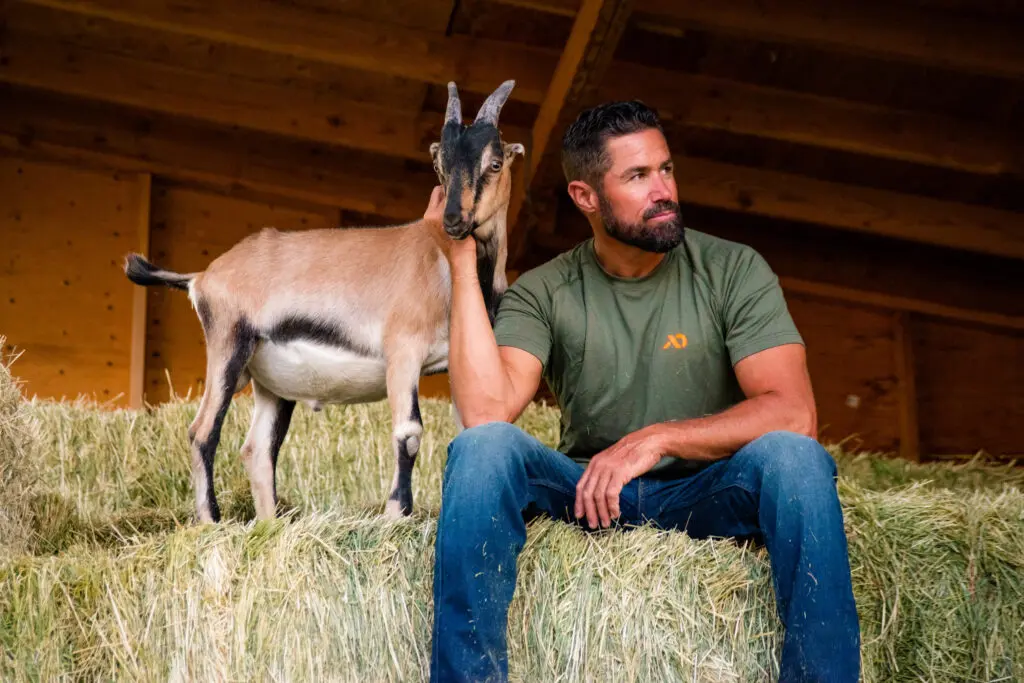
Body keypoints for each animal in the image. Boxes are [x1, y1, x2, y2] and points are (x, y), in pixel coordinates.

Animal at [123, 80, 524, 523]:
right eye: (440, 165)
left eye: (494, 163)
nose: (454, 219)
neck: (441, 264)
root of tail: (202, 277)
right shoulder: (403, 354)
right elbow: (409, 433)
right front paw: (396, 514)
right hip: (228, 350)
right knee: (203, 431)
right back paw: (211, 520)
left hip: (271, 385)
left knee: (258, 449)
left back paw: (270, 525)